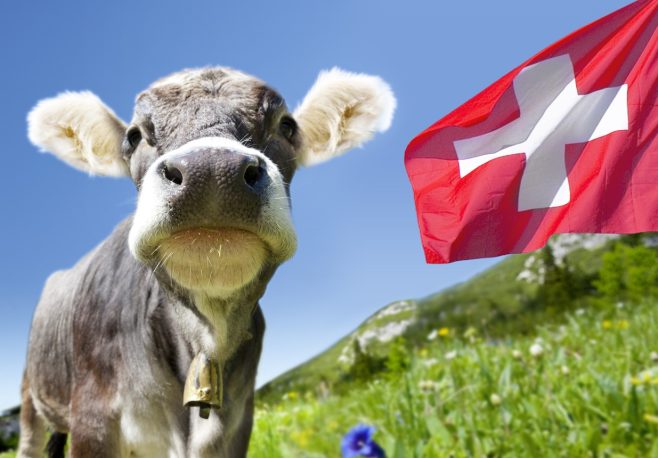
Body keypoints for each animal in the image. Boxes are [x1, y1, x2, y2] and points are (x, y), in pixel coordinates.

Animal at [18, 67, 395, 458]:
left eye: (287, 126)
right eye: (134, 136)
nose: (212, 171)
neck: (205, 339)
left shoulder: (238, 424)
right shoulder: (93, 419)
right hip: (32, 397)